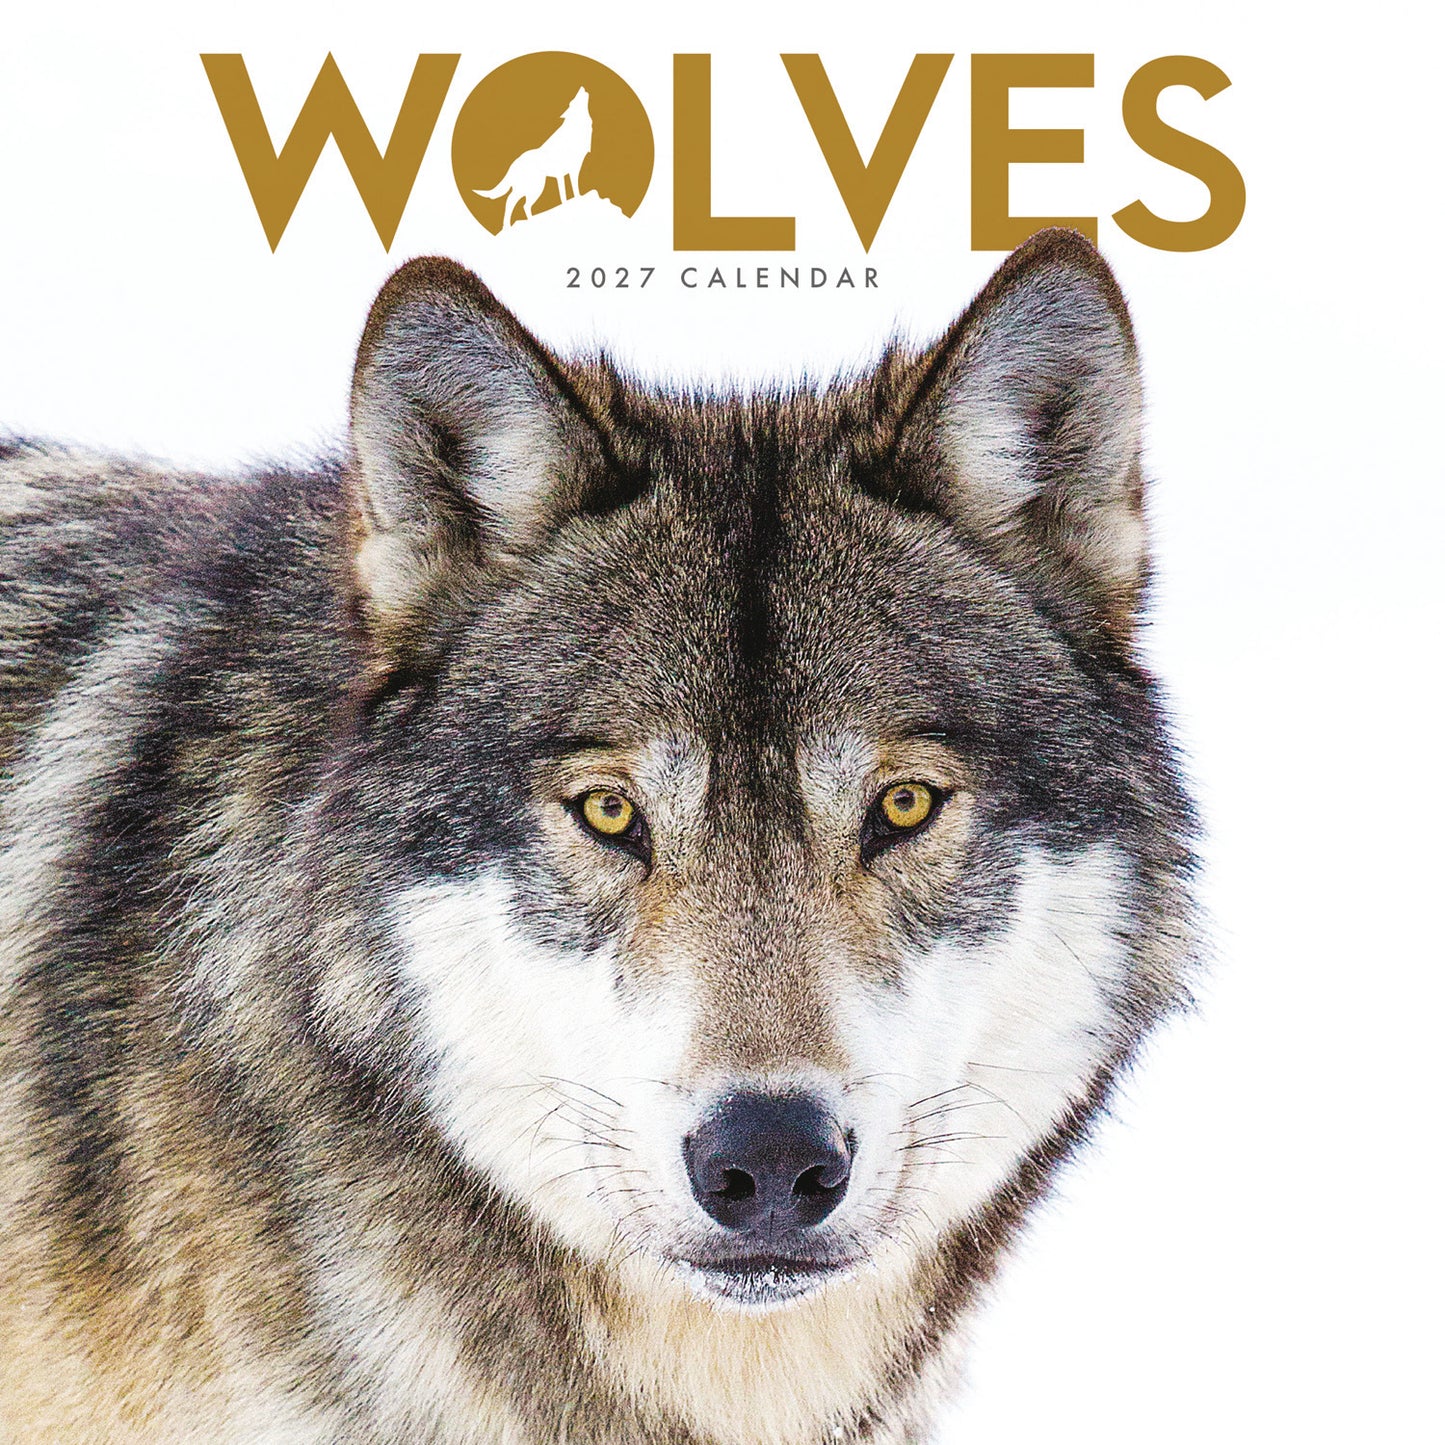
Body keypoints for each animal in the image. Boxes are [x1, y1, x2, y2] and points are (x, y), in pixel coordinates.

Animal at [473, 86, 592, 227]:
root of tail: (514, 164)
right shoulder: (573, 169)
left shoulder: (563, 174)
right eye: (572, 102)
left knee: (515, 202)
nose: (581, 87)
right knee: (516, 202)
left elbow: (566, 194)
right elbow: (574, 189)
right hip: (535, 187)